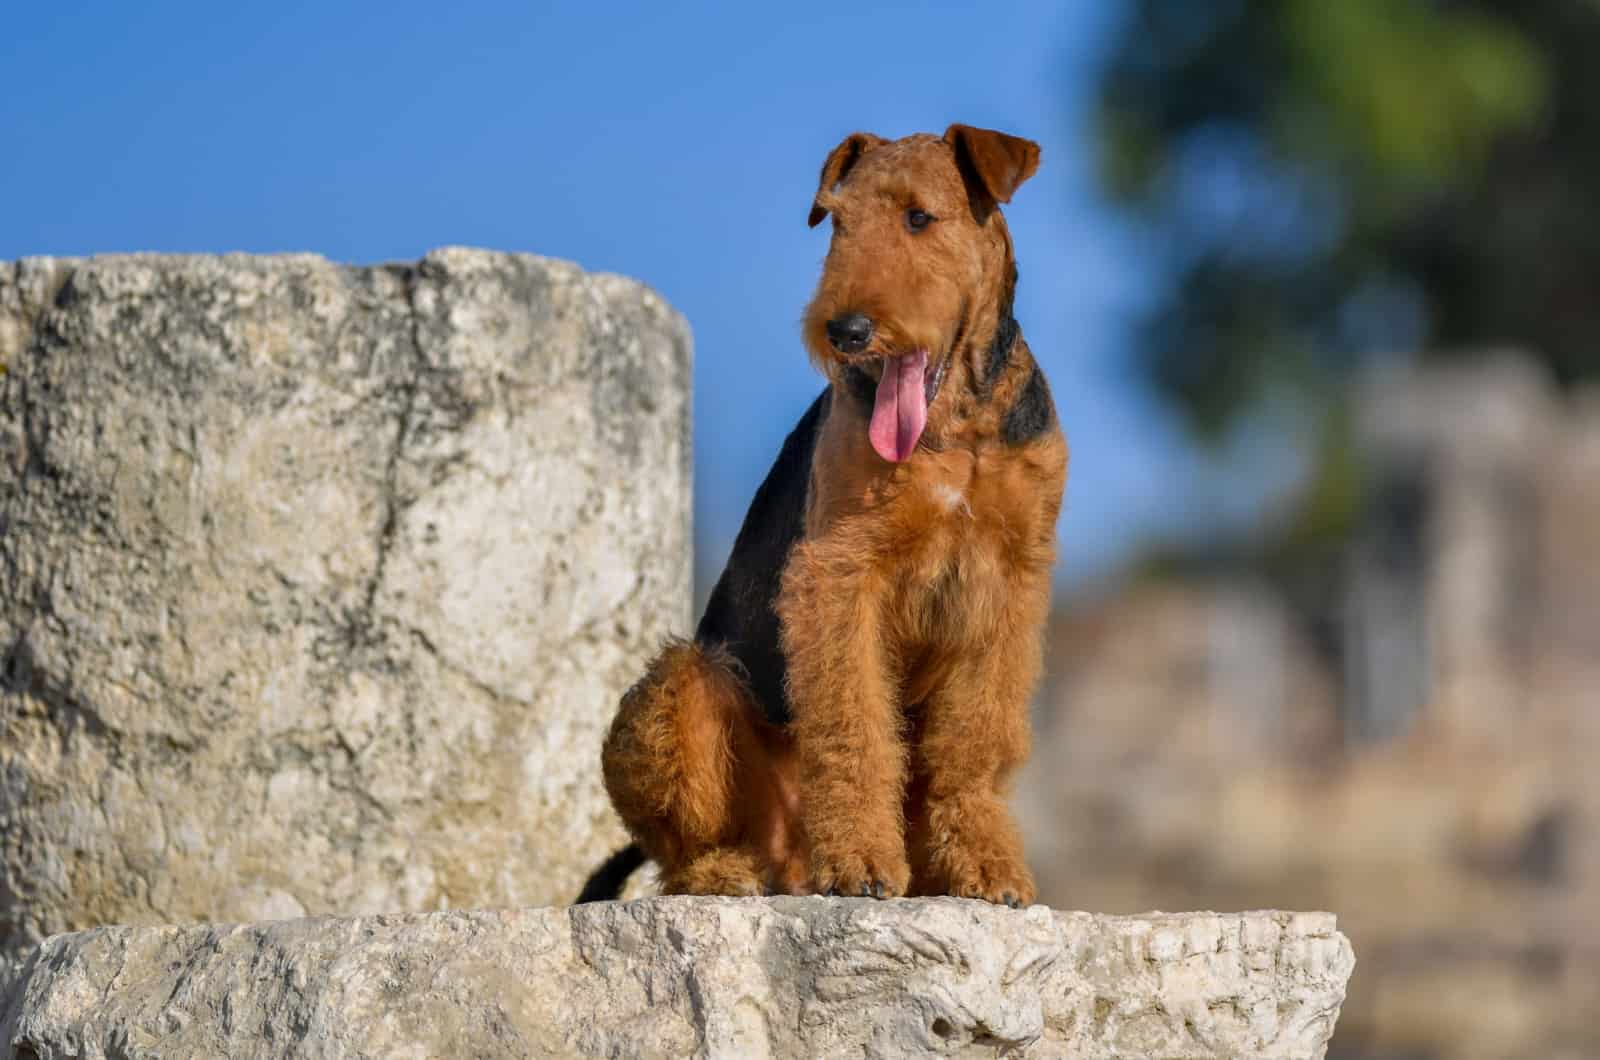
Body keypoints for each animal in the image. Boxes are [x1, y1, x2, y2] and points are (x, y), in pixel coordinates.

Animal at [582, 122, 1068, 903]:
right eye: (837, 223)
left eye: (919, 217)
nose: (846, 330)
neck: (956, 430)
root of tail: (792, 860)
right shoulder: (840, 570)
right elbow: (852, 724)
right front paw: (864, 864)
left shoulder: (1010, 579)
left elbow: (974, 740)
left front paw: (986, 865)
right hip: (682, 689)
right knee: (679, 850)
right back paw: (734, 871)